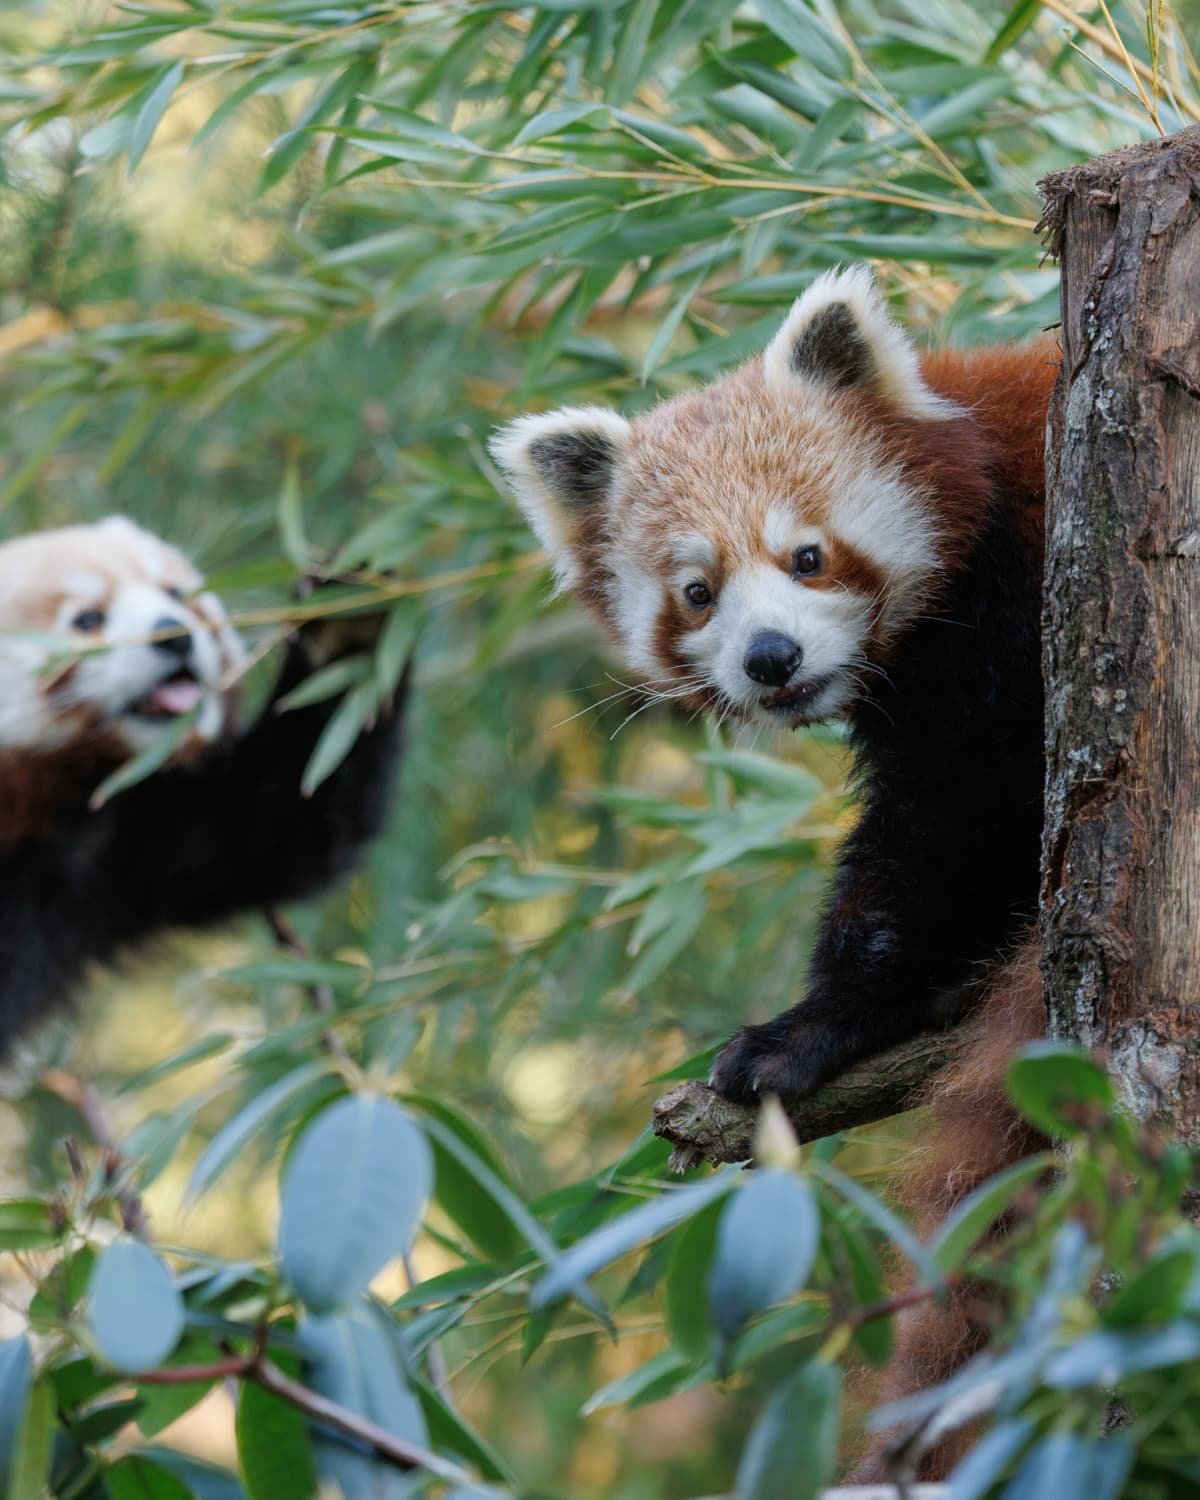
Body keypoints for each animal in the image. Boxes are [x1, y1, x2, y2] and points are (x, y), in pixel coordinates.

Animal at [0, 515, 406, 1055]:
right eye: (87, 620)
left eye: (175, 592)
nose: (173, 635)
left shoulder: (119, 849)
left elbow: (276, 826)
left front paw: (346, 616)